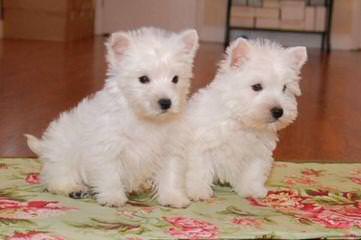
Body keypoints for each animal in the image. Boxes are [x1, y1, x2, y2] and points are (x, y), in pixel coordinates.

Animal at [26, 26, 197, 208]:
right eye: (143, 79)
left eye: (175, 79)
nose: (165, 102)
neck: (145, 119)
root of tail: (45, 147)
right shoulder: (107, 148)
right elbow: (110, 175)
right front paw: (113, 198)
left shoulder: (170, 150)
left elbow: (171, 175)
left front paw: (174, 198)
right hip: (62, 154)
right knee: (56, 178)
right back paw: (74, 188)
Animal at [184, 37, 306, 200]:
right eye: (257, 86)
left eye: (284, 88)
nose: (278, 111)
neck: (241, 122)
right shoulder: (201, 146)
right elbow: (199, 171)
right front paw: (198, 192)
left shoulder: (257, 153)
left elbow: (253, 173)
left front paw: (252, 190)